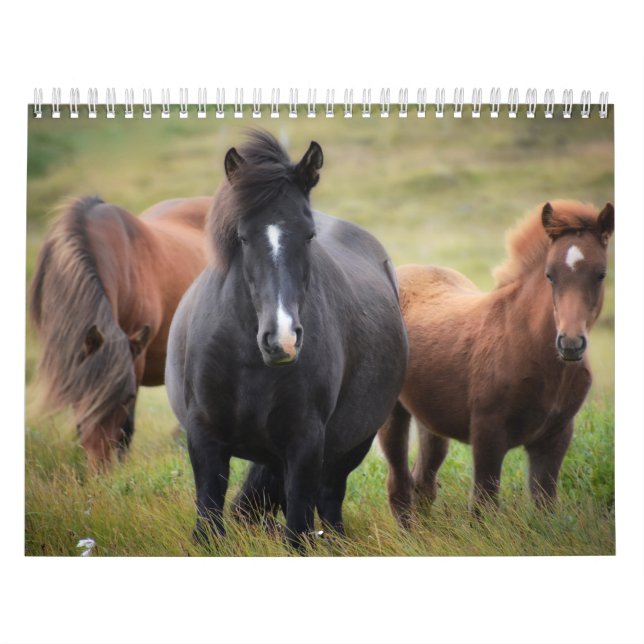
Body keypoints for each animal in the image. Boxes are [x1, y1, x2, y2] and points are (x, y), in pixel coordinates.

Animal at [165, 130, 408, 549]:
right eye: (243, 237)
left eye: (309, 235)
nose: (282, 340)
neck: (248, 360)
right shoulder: (204, 438)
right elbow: (209, 522)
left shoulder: (305, 443)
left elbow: (297, 530)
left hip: (351, 445)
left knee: (329, 501)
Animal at [378, 200, 614, 524]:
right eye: (550, 274)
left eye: (601, 274)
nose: (570, 344)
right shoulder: (488, 434)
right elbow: (483, 506)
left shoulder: (556, 437)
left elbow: (545, 505)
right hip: (393, 413)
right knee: (399, 483)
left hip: (431, 418)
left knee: (423, 481)